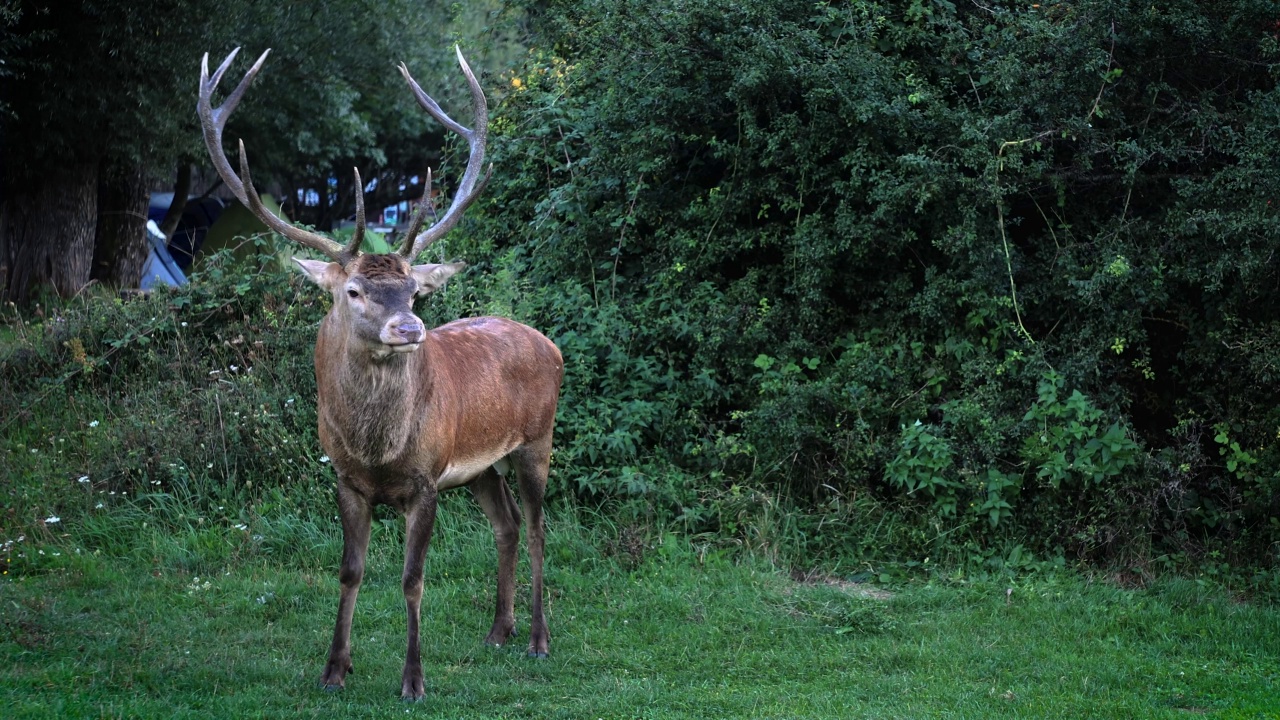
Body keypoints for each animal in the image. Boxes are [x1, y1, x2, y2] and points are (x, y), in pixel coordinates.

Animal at [198, 44, 560, 696]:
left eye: (414, 290)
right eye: (354, 291)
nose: (410, 329)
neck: (378, 448)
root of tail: (549, 343)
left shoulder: (426, 479)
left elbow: (413, 579)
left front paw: (413, 679)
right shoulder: (345, 478)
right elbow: (349, 570)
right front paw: (334, 668)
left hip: (537, 439)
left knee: (542, 526)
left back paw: (539, 640)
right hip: (479, 466)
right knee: (509, 523)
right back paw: (499, 631)